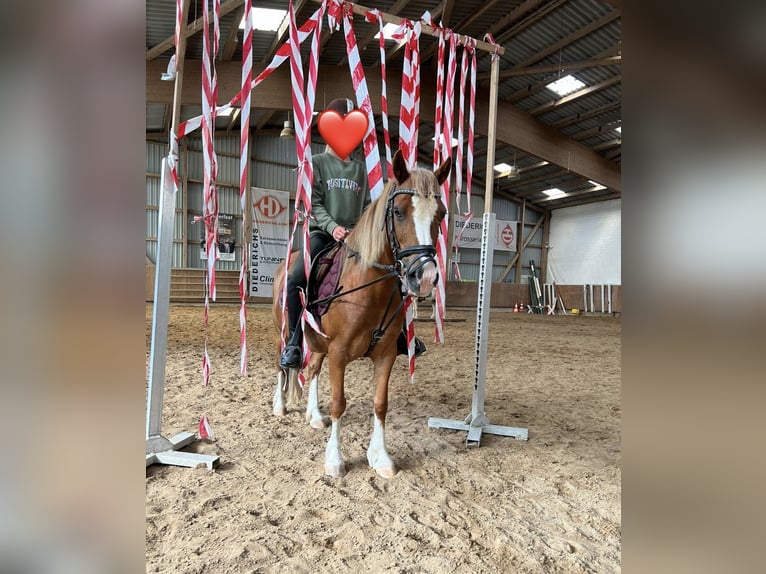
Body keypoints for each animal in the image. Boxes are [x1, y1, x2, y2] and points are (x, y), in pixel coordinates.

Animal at [272, 151, 450, 480]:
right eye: (398, 212)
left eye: (441, 214)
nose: (425, 277)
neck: (368, 287)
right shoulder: (339, 352)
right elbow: (338, 403)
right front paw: (334, 459)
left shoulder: (385, 354)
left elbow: (380, 404)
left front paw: (381, 458)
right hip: (284, 330)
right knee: (282, 364)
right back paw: (279, 405)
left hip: (317, 341)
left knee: (312, 369)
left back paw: (314, 416)